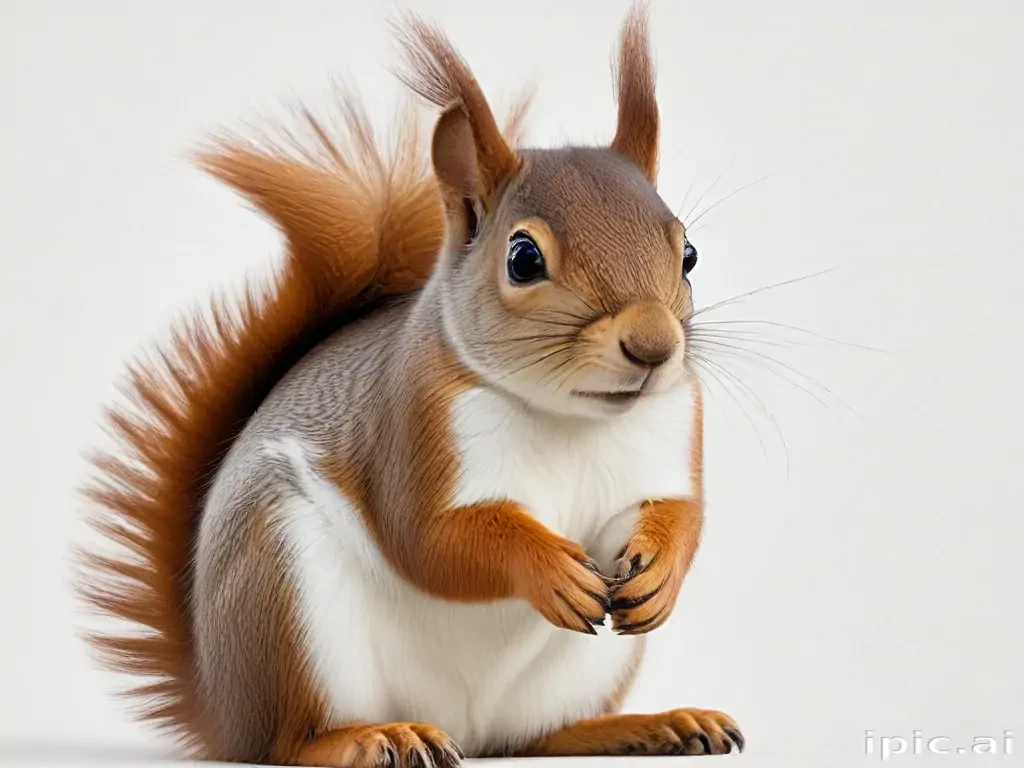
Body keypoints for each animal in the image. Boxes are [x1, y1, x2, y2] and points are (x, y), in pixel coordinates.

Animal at [77, 5, 743, 766]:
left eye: (688, 253)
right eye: (523, 259)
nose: (654, 346)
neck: (570, 418)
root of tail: (223, 712)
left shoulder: (671, 432)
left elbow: (679, 513)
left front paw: (662, 570)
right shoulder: (411, 426)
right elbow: (431, 538)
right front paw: (546, 566)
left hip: (580, 673)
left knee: (534, 737)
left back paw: (650, 724)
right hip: (288, 598)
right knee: (288, 742)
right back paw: (374, 737)